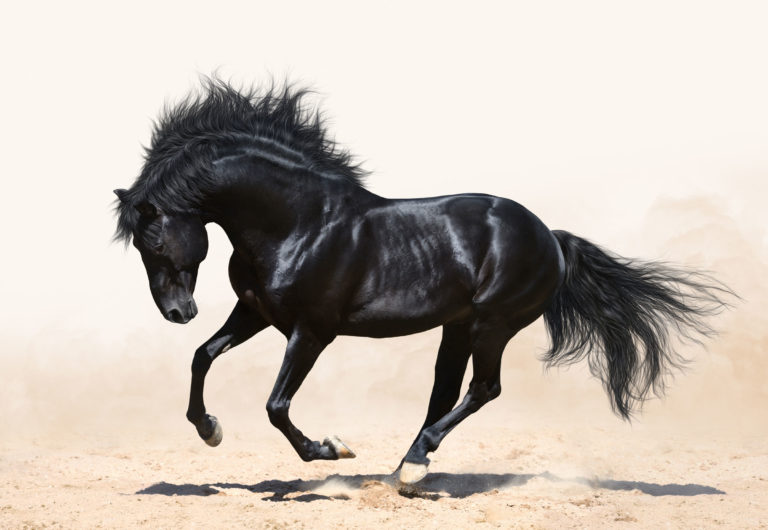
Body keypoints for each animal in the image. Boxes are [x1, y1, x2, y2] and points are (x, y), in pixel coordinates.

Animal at [113, 79, 730, 484]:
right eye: (140, 247)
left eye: (155, 241)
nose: (177, 312)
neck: (299, 222)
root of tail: (550, 237)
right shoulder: (257, 313)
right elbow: (202, 356)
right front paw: (209, 429)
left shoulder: (311, 331)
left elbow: (276, 405)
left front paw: (332, 450)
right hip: (457, 327)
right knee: (445, 393)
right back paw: (404, 471)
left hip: (491, 324)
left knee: (483, 389)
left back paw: (411, 467)